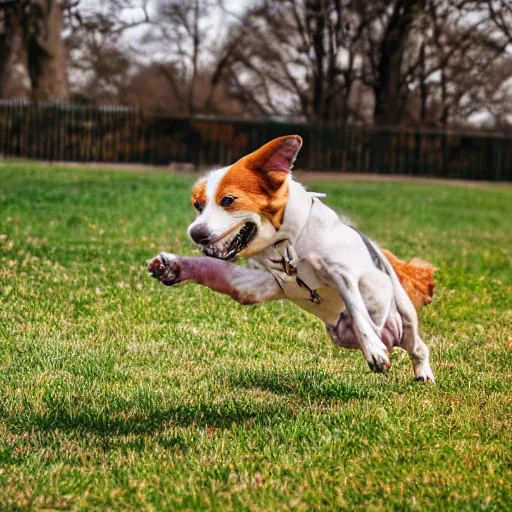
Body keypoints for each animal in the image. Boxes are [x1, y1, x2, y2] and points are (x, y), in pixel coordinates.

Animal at [147, 134, 436, 382]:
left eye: (227, 200)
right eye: (198, 205)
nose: (195, 233)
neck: (287, 246)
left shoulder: (340, 273)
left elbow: (357, 310)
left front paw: (373, 351)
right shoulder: (258, 284)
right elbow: (211, 268)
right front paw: (172, 266)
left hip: (405, 312)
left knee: (417, 347)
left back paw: (422, 373)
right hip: (340, 335)